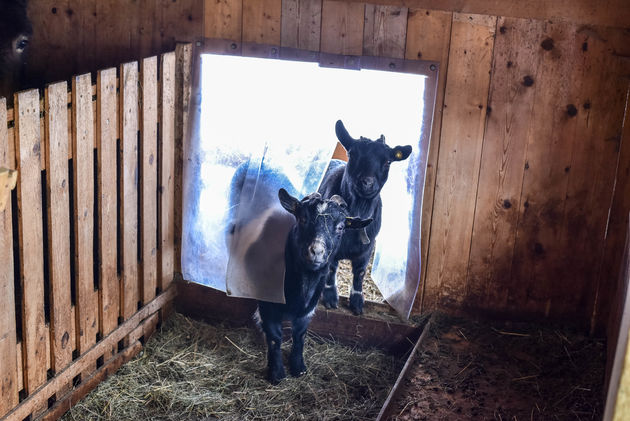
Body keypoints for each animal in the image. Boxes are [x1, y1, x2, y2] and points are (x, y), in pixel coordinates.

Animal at [258, 189, 372, 382]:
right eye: (303, 218)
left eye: (341, 227)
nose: (316, 251)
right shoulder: (266, 303)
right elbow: (275, 337)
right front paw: (277, 373)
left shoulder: (308, 309)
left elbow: (300, 335)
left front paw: (298, 367)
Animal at [320, 120, 414, 314]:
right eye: (352, 153)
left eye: (388, 161)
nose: (367, 183)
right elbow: (331, 268)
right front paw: (331, 297)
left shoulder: (367, 250)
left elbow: (360, 273)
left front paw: (357, 302)